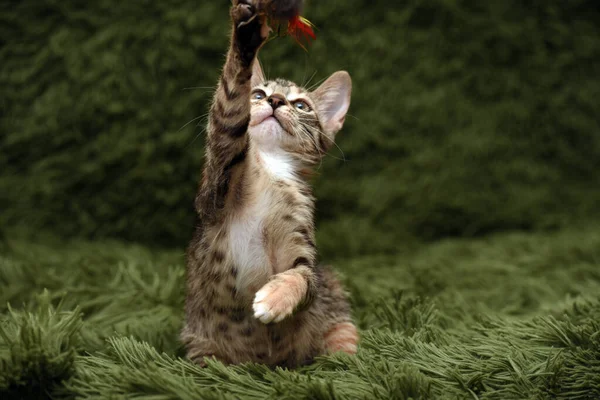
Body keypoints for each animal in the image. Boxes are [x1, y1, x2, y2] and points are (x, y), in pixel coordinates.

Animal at [179, 0, 356, 368]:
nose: (275, 101)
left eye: (301, 105)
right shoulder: (216, 181)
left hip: (335, 301)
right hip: (201, 346)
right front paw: (244, 39)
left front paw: (275, 297)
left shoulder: (301, 245)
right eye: (258, 93)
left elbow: (302, 276)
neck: (272, 167)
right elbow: (228, 107)